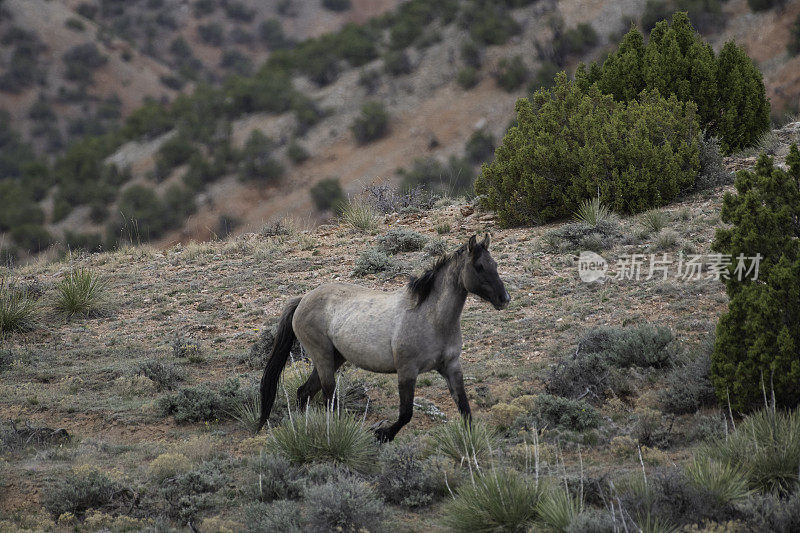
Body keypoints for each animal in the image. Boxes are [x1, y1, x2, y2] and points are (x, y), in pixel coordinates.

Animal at [260, 233, 512, 440]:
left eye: (495, 264)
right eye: (479, 266)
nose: (505, 299)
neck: (431, 318)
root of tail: (303, 299)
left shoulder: (451, 367)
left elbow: (465, 410)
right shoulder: (407, 371)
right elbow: (406, 414)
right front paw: (382, 434)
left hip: (335, 358)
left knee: (304, 393)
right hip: (322, 357)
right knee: (329, 398)